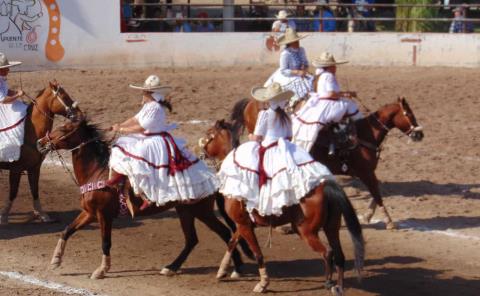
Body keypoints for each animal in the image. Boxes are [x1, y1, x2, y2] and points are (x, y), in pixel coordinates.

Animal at [0, 81, 81, 224]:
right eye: (64, 97)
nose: (79, 113)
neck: (29, 131)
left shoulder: (35, 168)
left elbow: (35, 190)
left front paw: (42, 214)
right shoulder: (16, 169)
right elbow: (13, 192)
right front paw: (4, 216)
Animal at [37, 118, 244, 280]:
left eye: (63, 128)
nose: (40, 142)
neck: (97, 173)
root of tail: (213, 174)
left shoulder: (104, 215)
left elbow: (105, 242)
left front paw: (101, 270)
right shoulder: (89, 213)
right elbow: (67, 230)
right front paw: (55, 261)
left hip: (201, 211)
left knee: (225, 233)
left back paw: (233, 269)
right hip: (185, 211)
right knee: (193, 239)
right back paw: (172, 267)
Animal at [199, 119, 364, 294]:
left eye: (209, 132)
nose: (201, 152)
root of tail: (325, 186)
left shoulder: (244, 224)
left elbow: (257, 253)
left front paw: (263, 283)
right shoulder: (243, 224)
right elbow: (232, 242)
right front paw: (222, 271)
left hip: (306, 231)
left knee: (327, 252)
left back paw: (328, 282)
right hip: (331, 228)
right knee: (339, 255)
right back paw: (339, 287)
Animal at [229, 97, 424, 229]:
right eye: (409, 114)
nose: (420, 134)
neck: (363, 136)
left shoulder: (367, 173)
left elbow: (377, 193)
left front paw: (368, 216)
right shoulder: (365, 172)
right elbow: (377, 195)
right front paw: (389, 222)